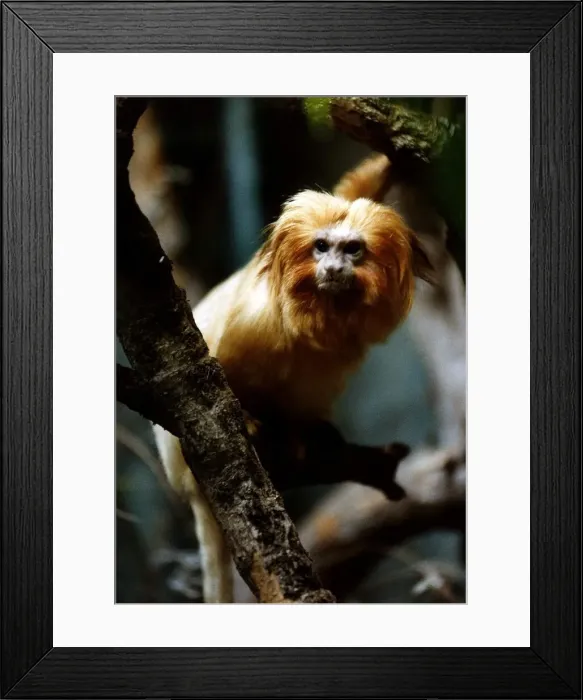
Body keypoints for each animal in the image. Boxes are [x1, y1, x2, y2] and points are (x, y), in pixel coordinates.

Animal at [152, 186, 433, 603]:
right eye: (321, 246)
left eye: (352, 249)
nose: (332, 268)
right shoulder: (253, 321)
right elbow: (206, 377)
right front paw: (248, 420)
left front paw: (304, 435)